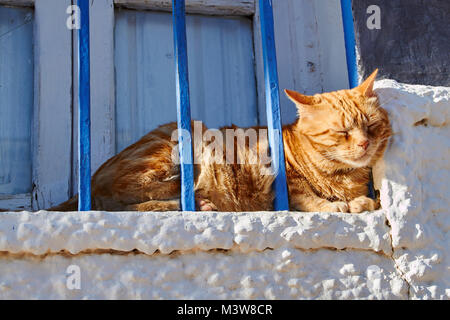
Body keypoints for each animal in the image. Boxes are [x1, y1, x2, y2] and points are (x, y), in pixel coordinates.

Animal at [50, 69, 390, 214]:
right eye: (342, 132)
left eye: (371, 126)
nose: (364, 145)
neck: (342, 173)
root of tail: (91, 178)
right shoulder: (278, 178)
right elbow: (304, 195)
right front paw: (334, 204)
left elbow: (363, 199)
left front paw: (360, 201)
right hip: (176, 145)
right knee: (127, 197)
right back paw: (193, 199)